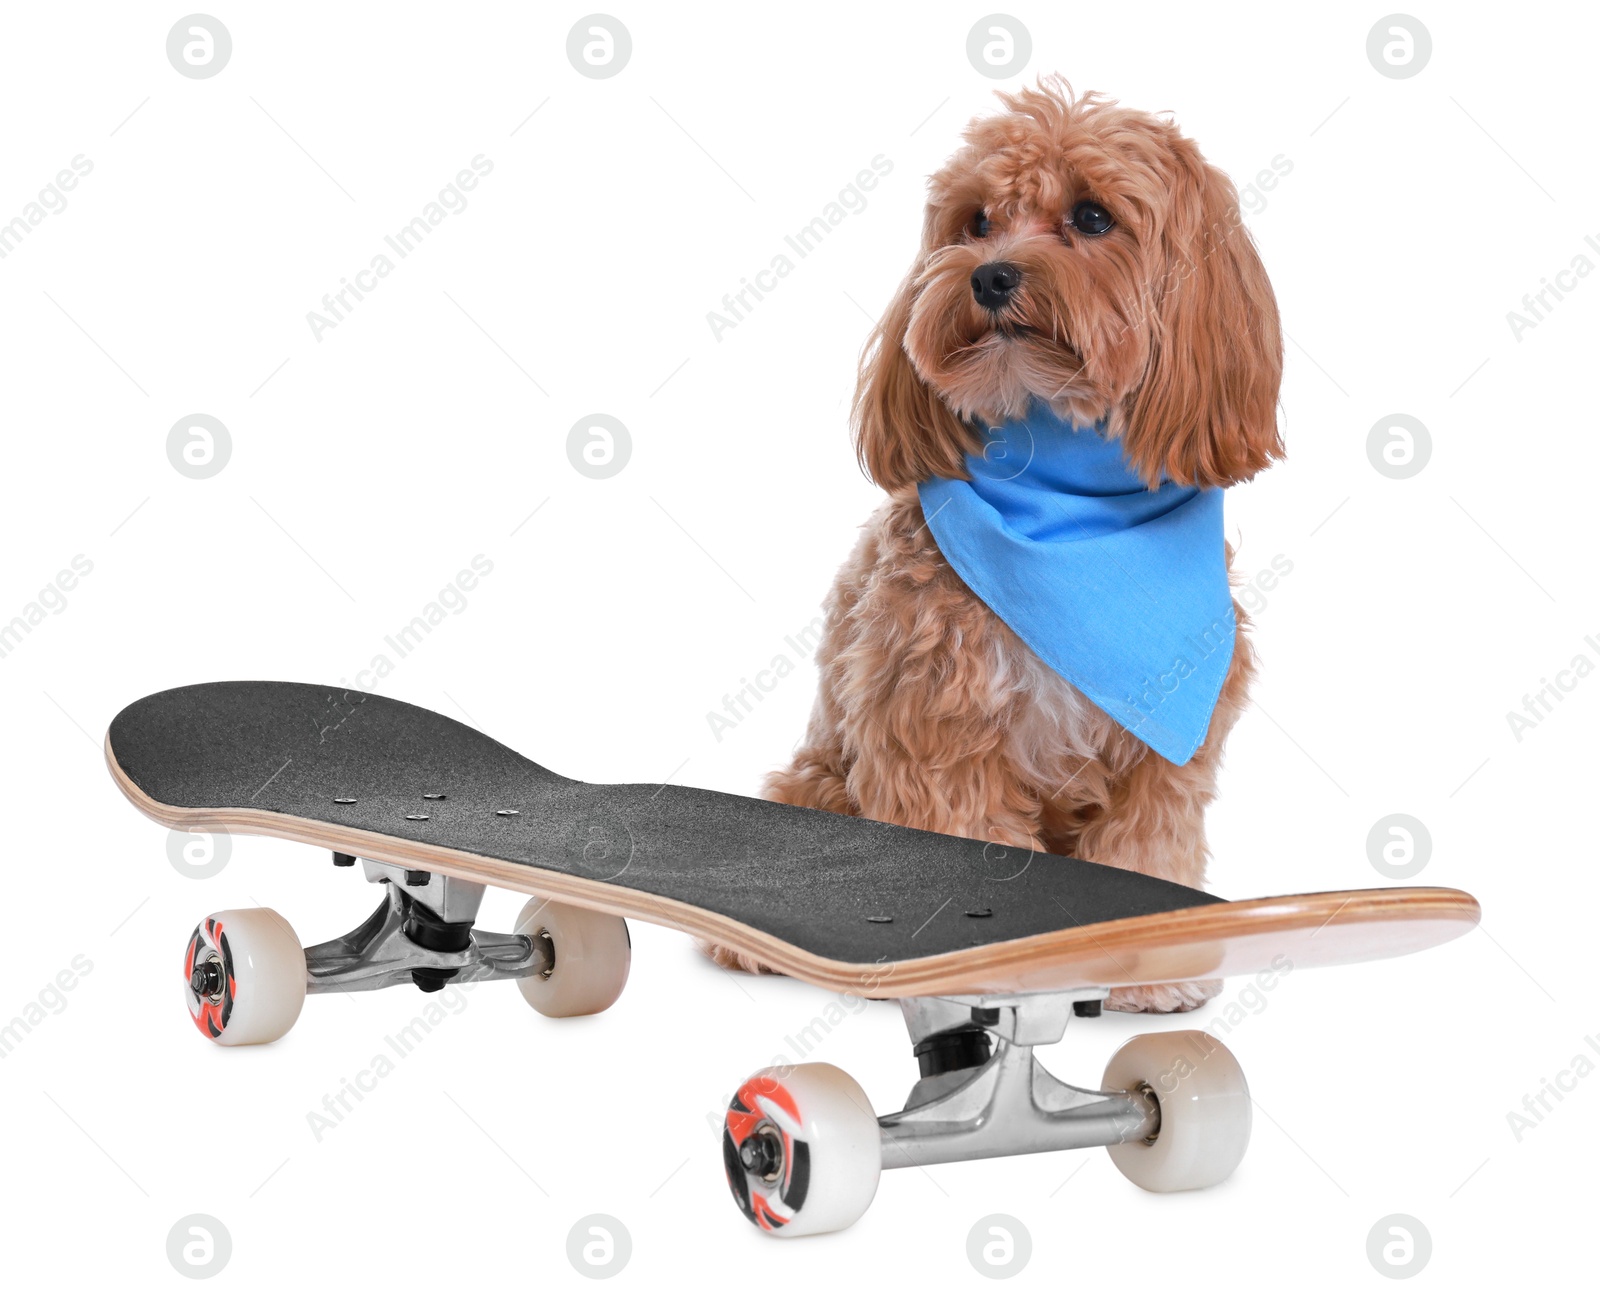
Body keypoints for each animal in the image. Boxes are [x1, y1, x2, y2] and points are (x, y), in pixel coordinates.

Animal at [707, 80, 1280, 1011]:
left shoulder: (1167, 751)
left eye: (1092, 216)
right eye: (975, 222)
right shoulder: (936, 726)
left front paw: (1150, 977)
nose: (989, 273)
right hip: (821, 779)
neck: (1069, 502)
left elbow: (1146, 845)